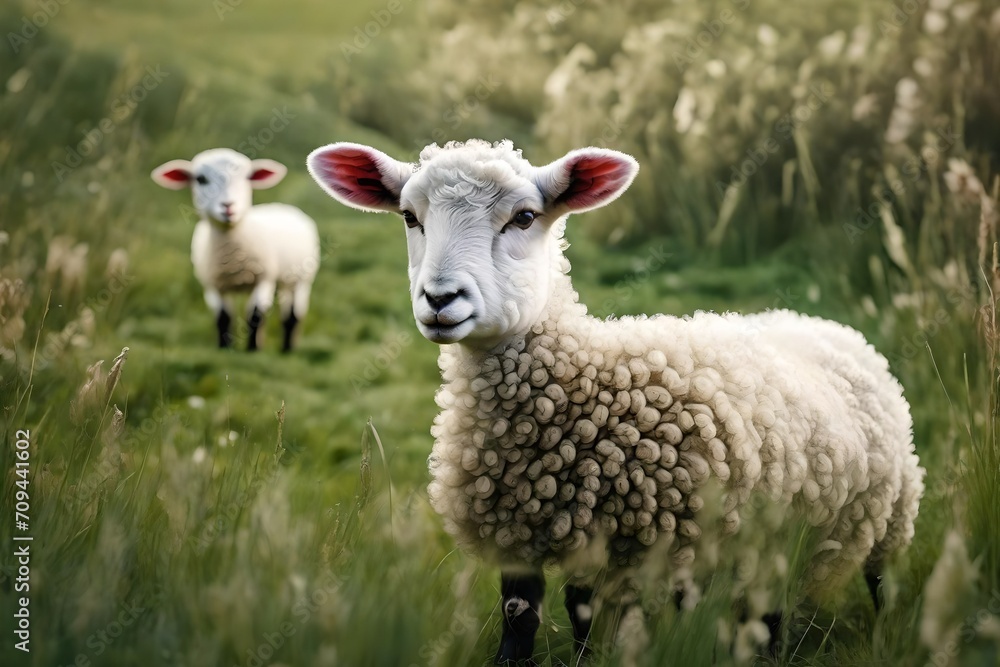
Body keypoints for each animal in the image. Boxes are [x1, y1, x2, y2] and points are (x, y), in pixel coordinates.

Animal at [152, 148, 319, 352]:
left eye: (248, 177)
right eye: (201, 179)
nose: (228, 206)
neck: (231, 256)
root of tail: (283, 206)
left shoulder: (264, 279)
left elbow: (255, 316)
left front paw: (252, 350)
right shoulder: (213, 285)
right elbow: (223, 318)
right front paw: (224, 348)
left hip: (302, 280)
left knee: (292, 317)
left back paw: (287, 349)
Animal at [306, 139, 924, 663]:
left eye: (524, 217)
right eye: (411, 217)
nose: (440, 299)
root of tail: (825, 325)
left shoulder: (639, 554)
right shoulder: (526, 542)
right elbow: (524, 625)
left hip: (890, 521)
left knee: (880, 588)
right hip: (767, 545)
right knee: (765, 616)